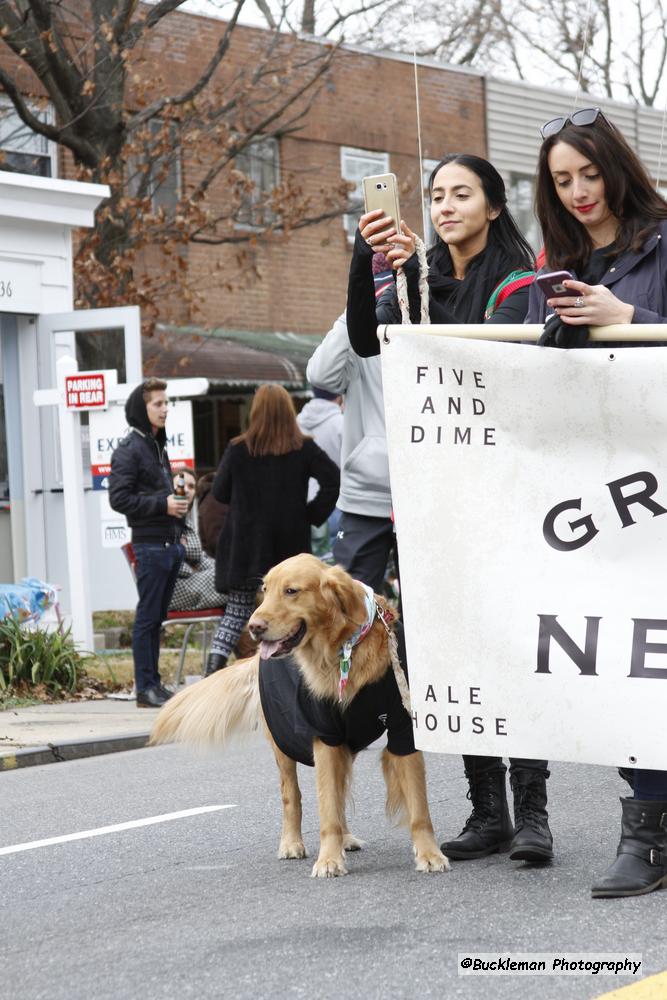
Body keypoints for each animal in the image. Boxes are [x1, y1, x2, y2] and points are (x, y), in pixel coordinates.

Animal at [151, 552, 448, 880]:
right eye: (265, 590)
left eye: (291, 591)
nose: (254, 626)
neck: (342, 649)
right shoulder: (325, 736)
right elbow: (325, 809)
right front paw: (328, 859)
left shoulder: (403, 730)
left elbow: (419, 808)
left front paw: (429, 854)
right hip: (284, 743)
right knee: (292, 796)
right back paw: (293, 843)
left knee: (339, 793)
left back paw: (346, 838)